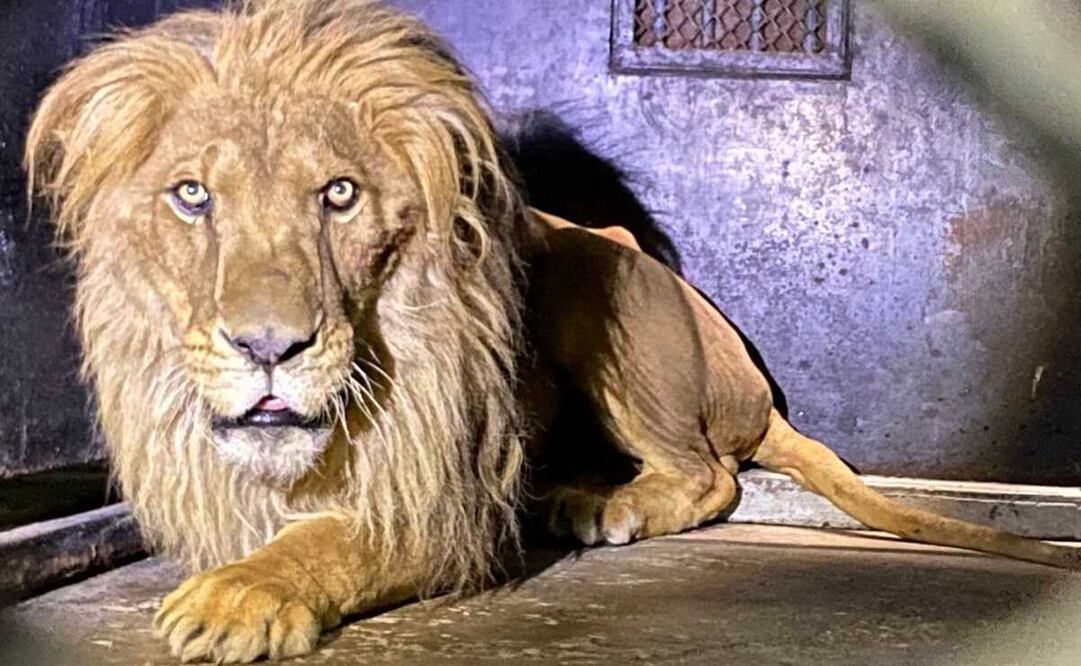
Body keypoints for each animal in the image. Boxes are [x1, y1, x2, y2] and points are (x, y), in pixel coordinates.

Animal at [24, 0, 1079, 662]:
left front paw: (242, 594)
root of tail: (754, 388)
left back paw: (597, 505)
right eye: (192, 196)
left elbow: (331, 541)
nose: (268, 349)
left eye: (339, 195)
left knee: (712, 474)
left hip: (596, 264)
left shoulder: (448, 500)